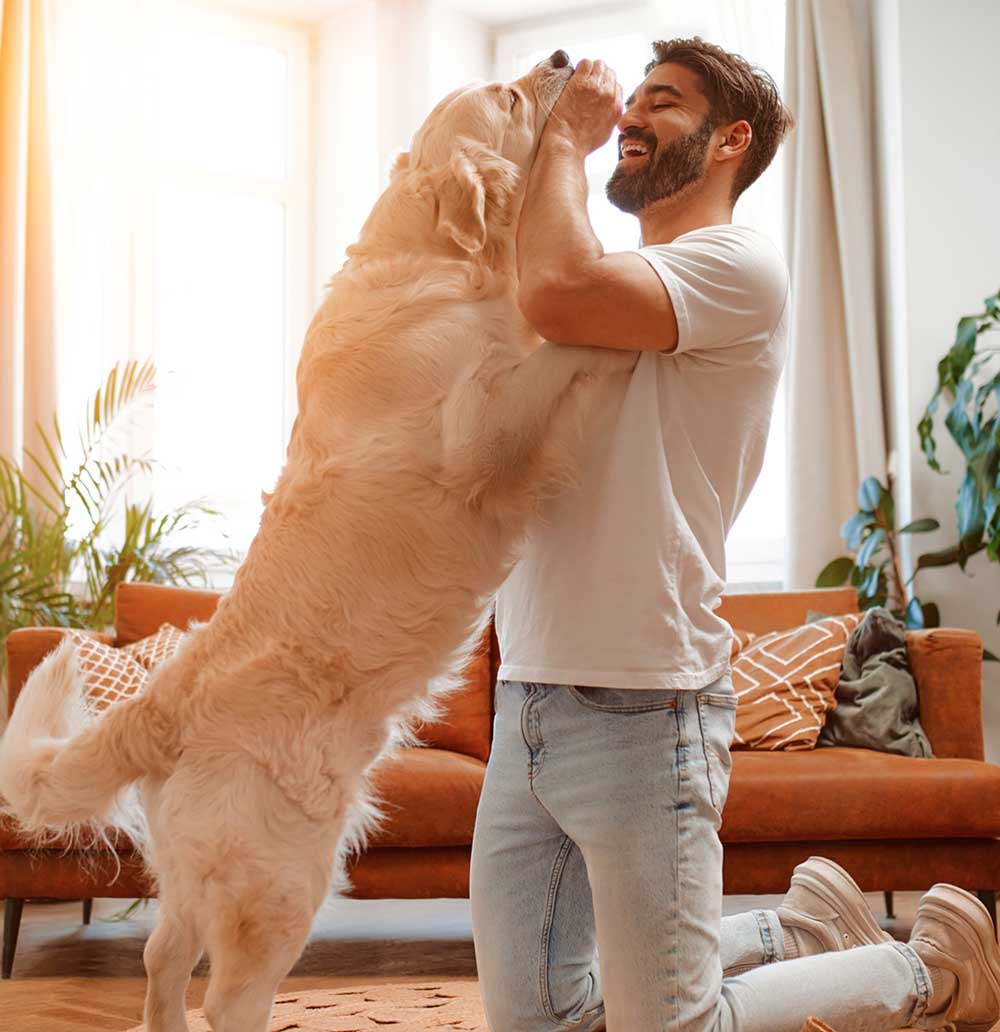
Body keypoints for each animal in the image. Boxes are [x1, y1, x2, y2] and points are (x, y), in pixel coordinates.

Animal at [0, 52, 635, 1027]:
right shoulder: (478, 433)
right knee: (226, 998)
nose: (564, 58)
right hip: (283, 878)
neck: (432, 259)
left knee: (159, 956)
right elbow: (552, 351)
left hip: (201, 869)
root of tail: (165, 697)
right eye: (512, 97)